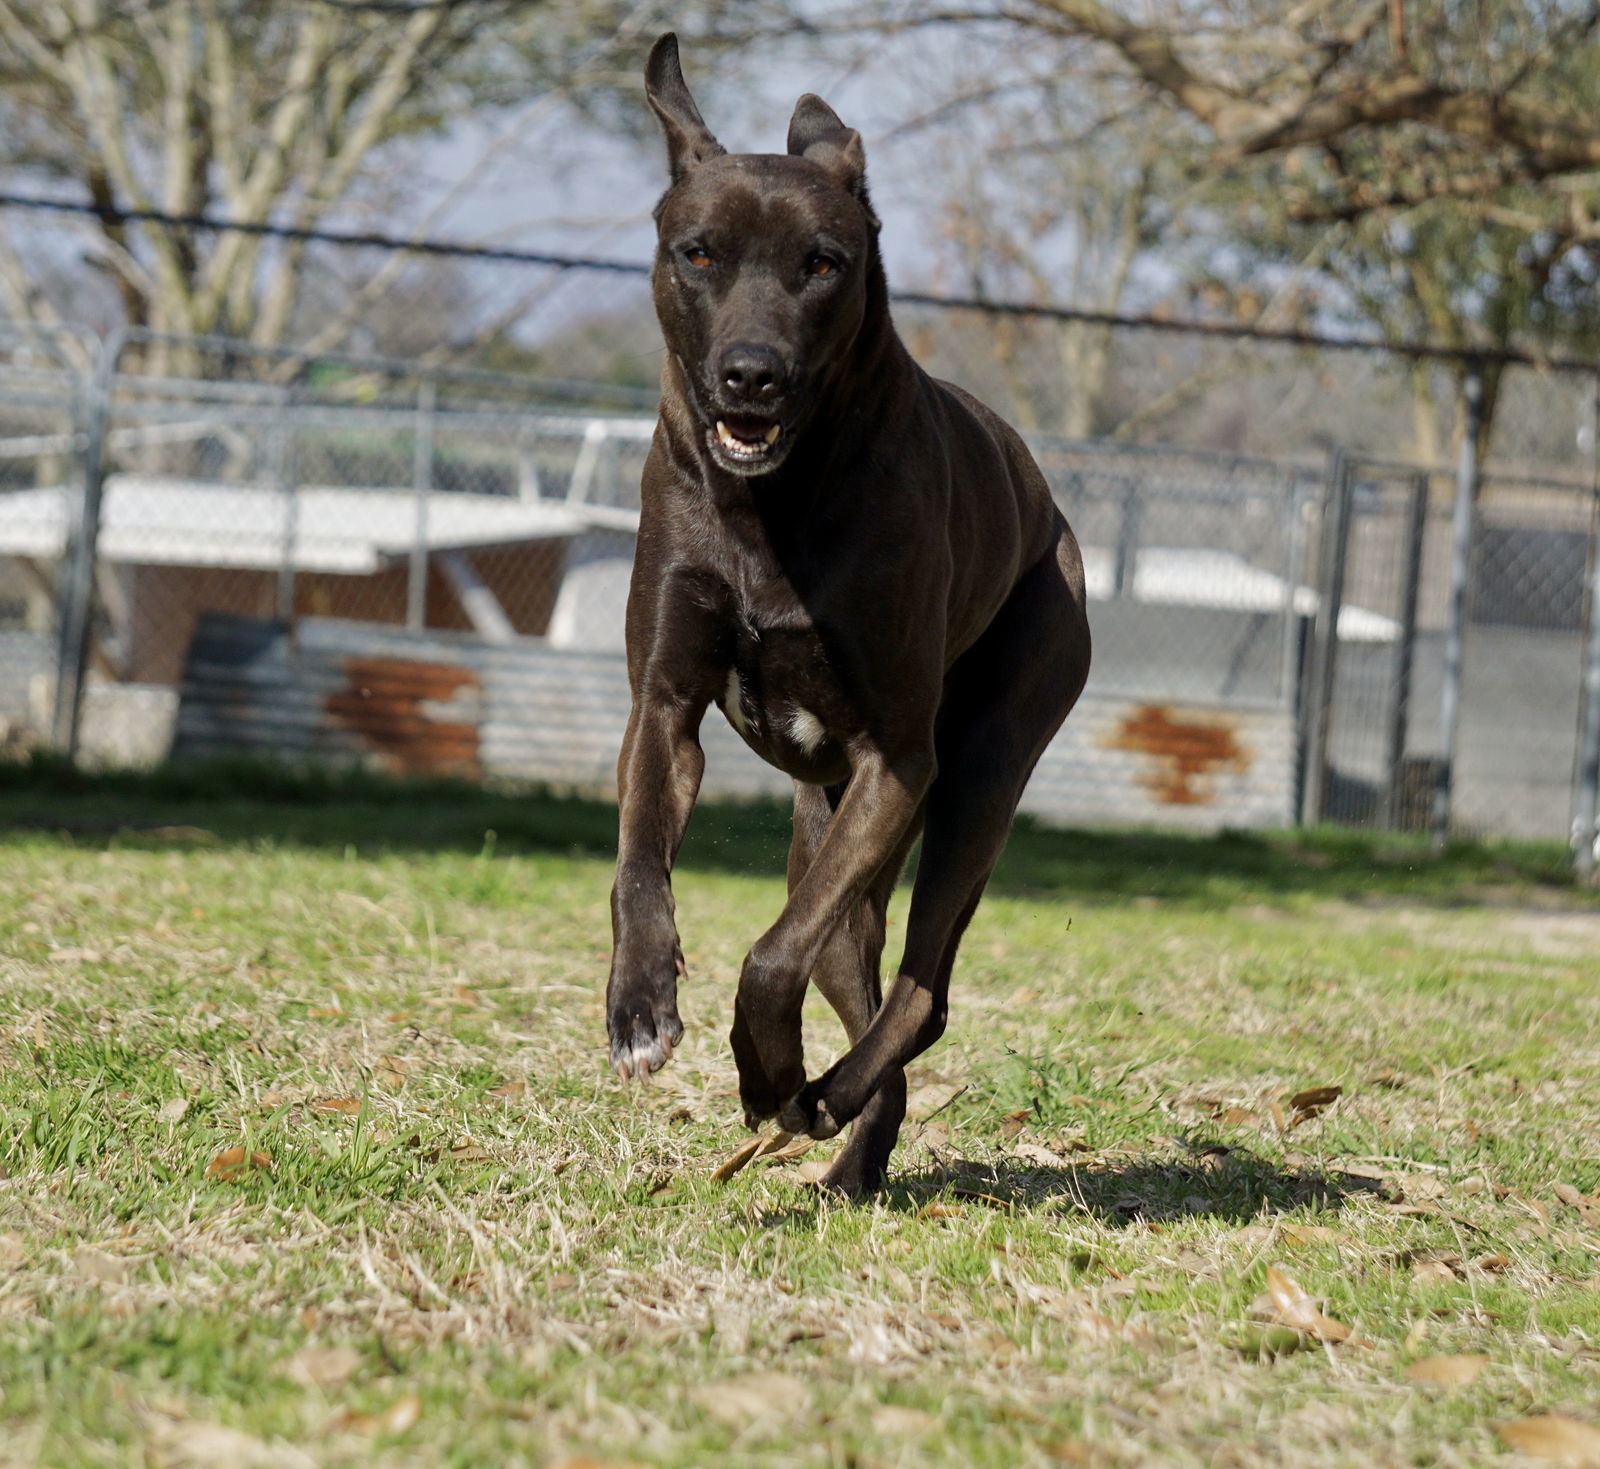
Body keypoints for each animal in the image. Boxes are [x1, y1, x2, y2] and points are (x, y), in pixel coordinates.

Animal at [604, 34, 1094, 1196]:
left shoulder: (894, 760)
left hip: (974, 782)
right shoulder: (664, 708)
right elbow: (640, 864)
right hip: (830, 844)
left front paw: (764, 1065)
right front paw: (640, 1007)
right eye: (697, 253)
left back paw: (813, 1094)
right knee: (867, 987)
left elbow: (767, 954)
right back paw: (846, 1142)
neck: (773, 505)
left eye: (823, 264)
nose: (753, 375)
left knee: (921, 993)